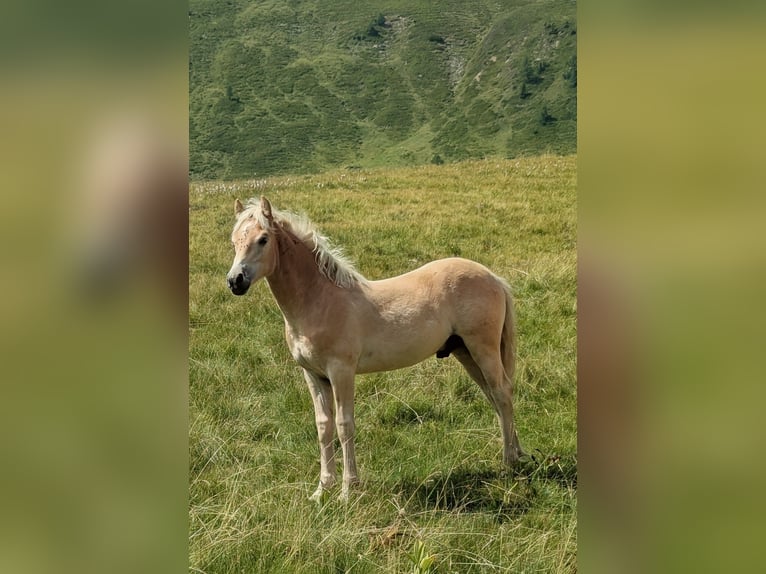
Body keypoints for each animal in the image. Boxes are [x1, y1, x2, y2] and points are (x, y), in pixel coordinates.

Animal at [226, 196, 524, 501]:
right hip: (464, 352)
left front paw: (348, 490)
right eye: (234, 240)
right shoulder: (313, 375)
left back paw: (508, 462)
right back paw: (516, 453)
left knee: (502, 392)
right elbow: (323, 426)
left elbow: (344, 425)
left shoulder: (341, 371)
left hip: (482, 348)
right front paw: (322, 490)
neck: (319, 300)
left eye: (263, 239)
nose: (235, 281)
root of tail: (493, 277)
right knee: (493, 395)